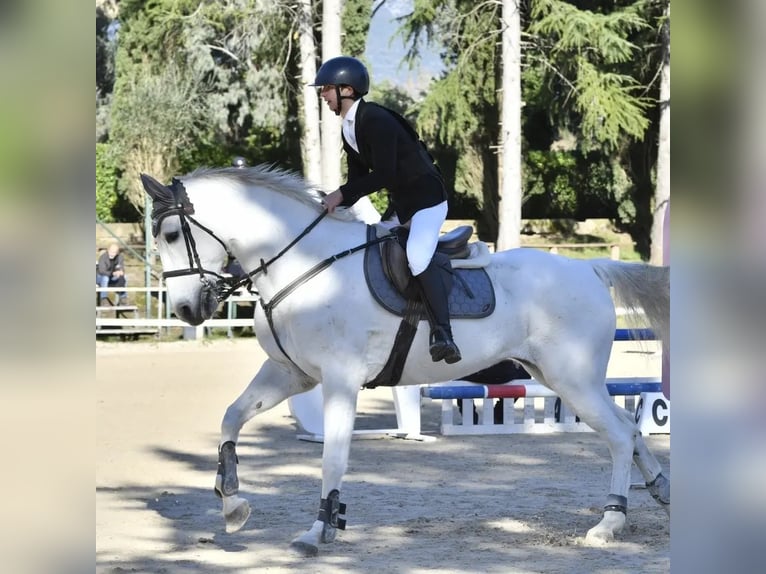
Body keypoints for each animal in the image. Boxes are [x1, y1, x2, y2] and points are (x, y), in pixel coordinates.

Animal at [141, 164, 668, 556]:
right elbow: (232, 417)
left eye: (170, 233)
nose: (186, 310)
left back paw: (610, 522)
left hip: (571, 378)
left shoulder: (339, 380)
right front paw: (232, 504)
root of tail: (591, 268)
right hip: (562, 378)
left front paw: (319, 530)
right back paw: (659, 487)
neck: (302, 264)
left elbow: (333, 458)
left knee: (618, 433)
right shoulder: (291, 373)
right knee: (629, 424)